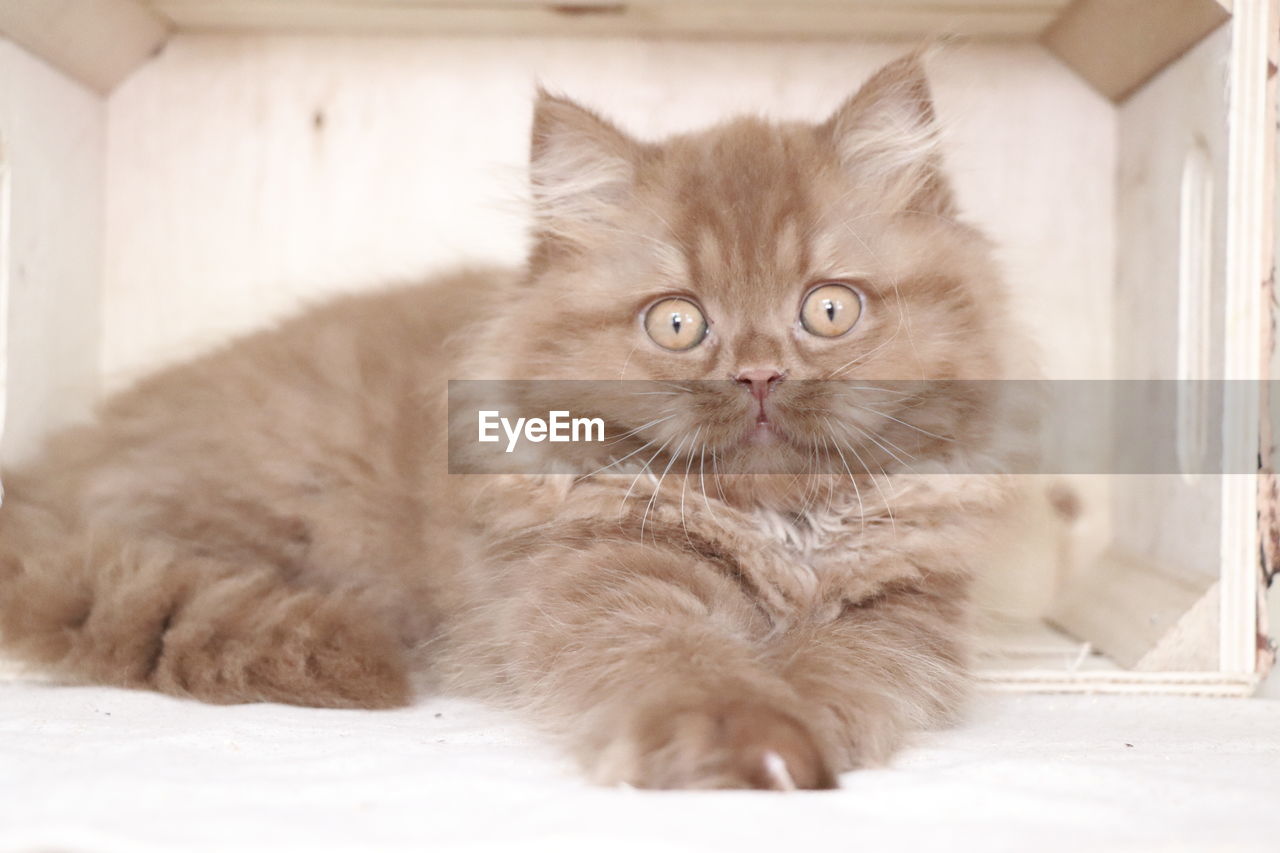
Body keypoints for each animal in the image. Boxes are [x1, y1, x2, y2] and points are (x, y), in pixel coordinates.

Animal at [0, 54, 1018, 788]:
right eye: (677, 322)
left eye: (829, 309)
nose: (760, 373)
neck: (782, 528)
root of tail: (47, 474)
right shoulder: (604, 581)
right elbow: (690, 663)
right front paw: (744, 740)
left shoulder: (906, 608)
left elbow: (846, 668)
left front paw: (808, 721)